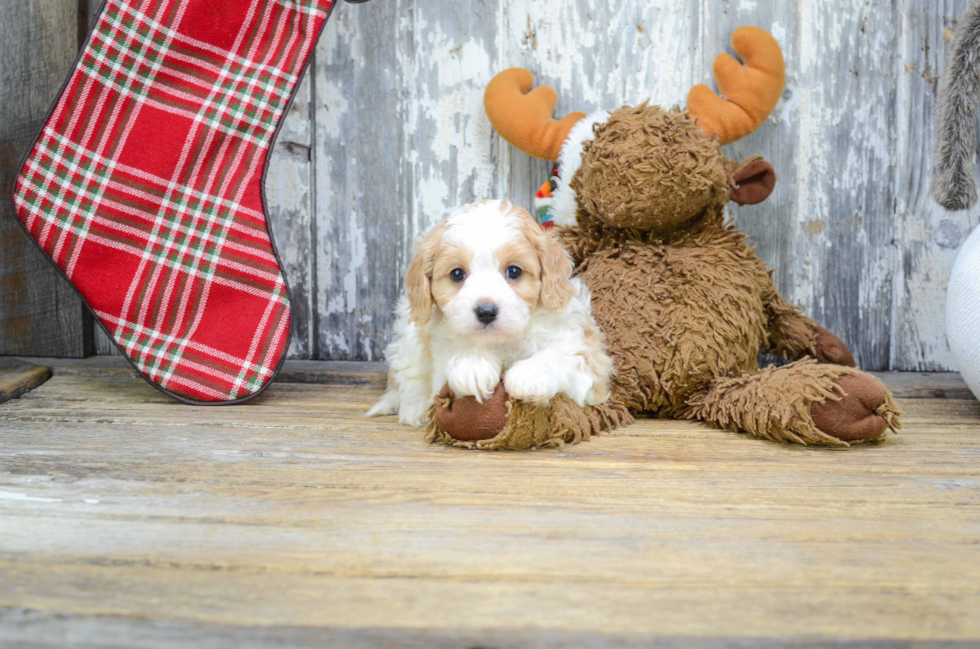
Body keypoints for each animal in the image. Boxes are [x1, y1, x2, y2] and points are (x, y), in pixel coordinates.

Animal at [368, 200, 612, 428]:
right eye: (457, 274)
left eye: (514, 271)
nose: (486, 312)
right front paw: (472, 365)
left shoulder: (588, 358)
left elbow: (560, 356)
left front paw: (530, 375)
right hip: (409, 336)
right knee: (408, 377)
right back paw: (415, 408)